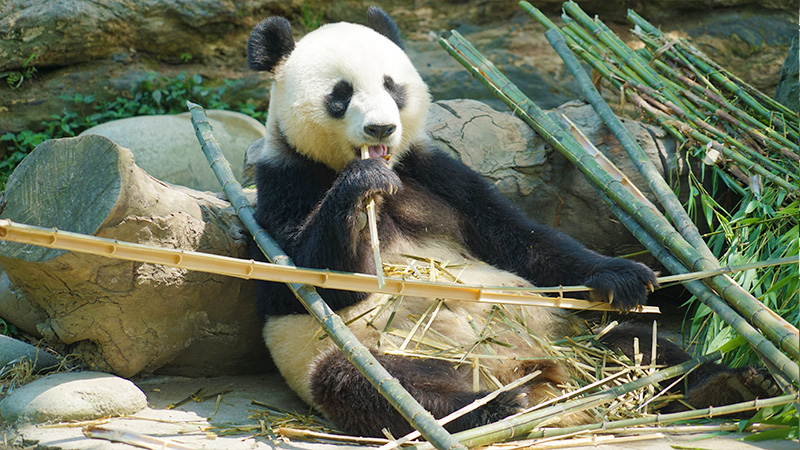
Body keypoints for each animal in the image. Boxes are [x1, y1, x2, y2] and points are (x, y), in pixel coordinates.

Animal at [246, 7, 776, 437]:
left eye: (391, 86)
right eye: (341, 94)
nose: (381, 128)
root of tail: (525, 368)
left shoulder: (435, 171)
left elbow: (521, 238)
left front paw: (624, 277)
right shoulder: (281, 183)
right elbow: (304, 280)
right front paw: (361, 186)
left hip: (563, 325)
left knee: (634, 343)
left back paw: (725, 384)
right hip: (371, 350)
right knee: (376, 387)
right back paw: (499, 408)